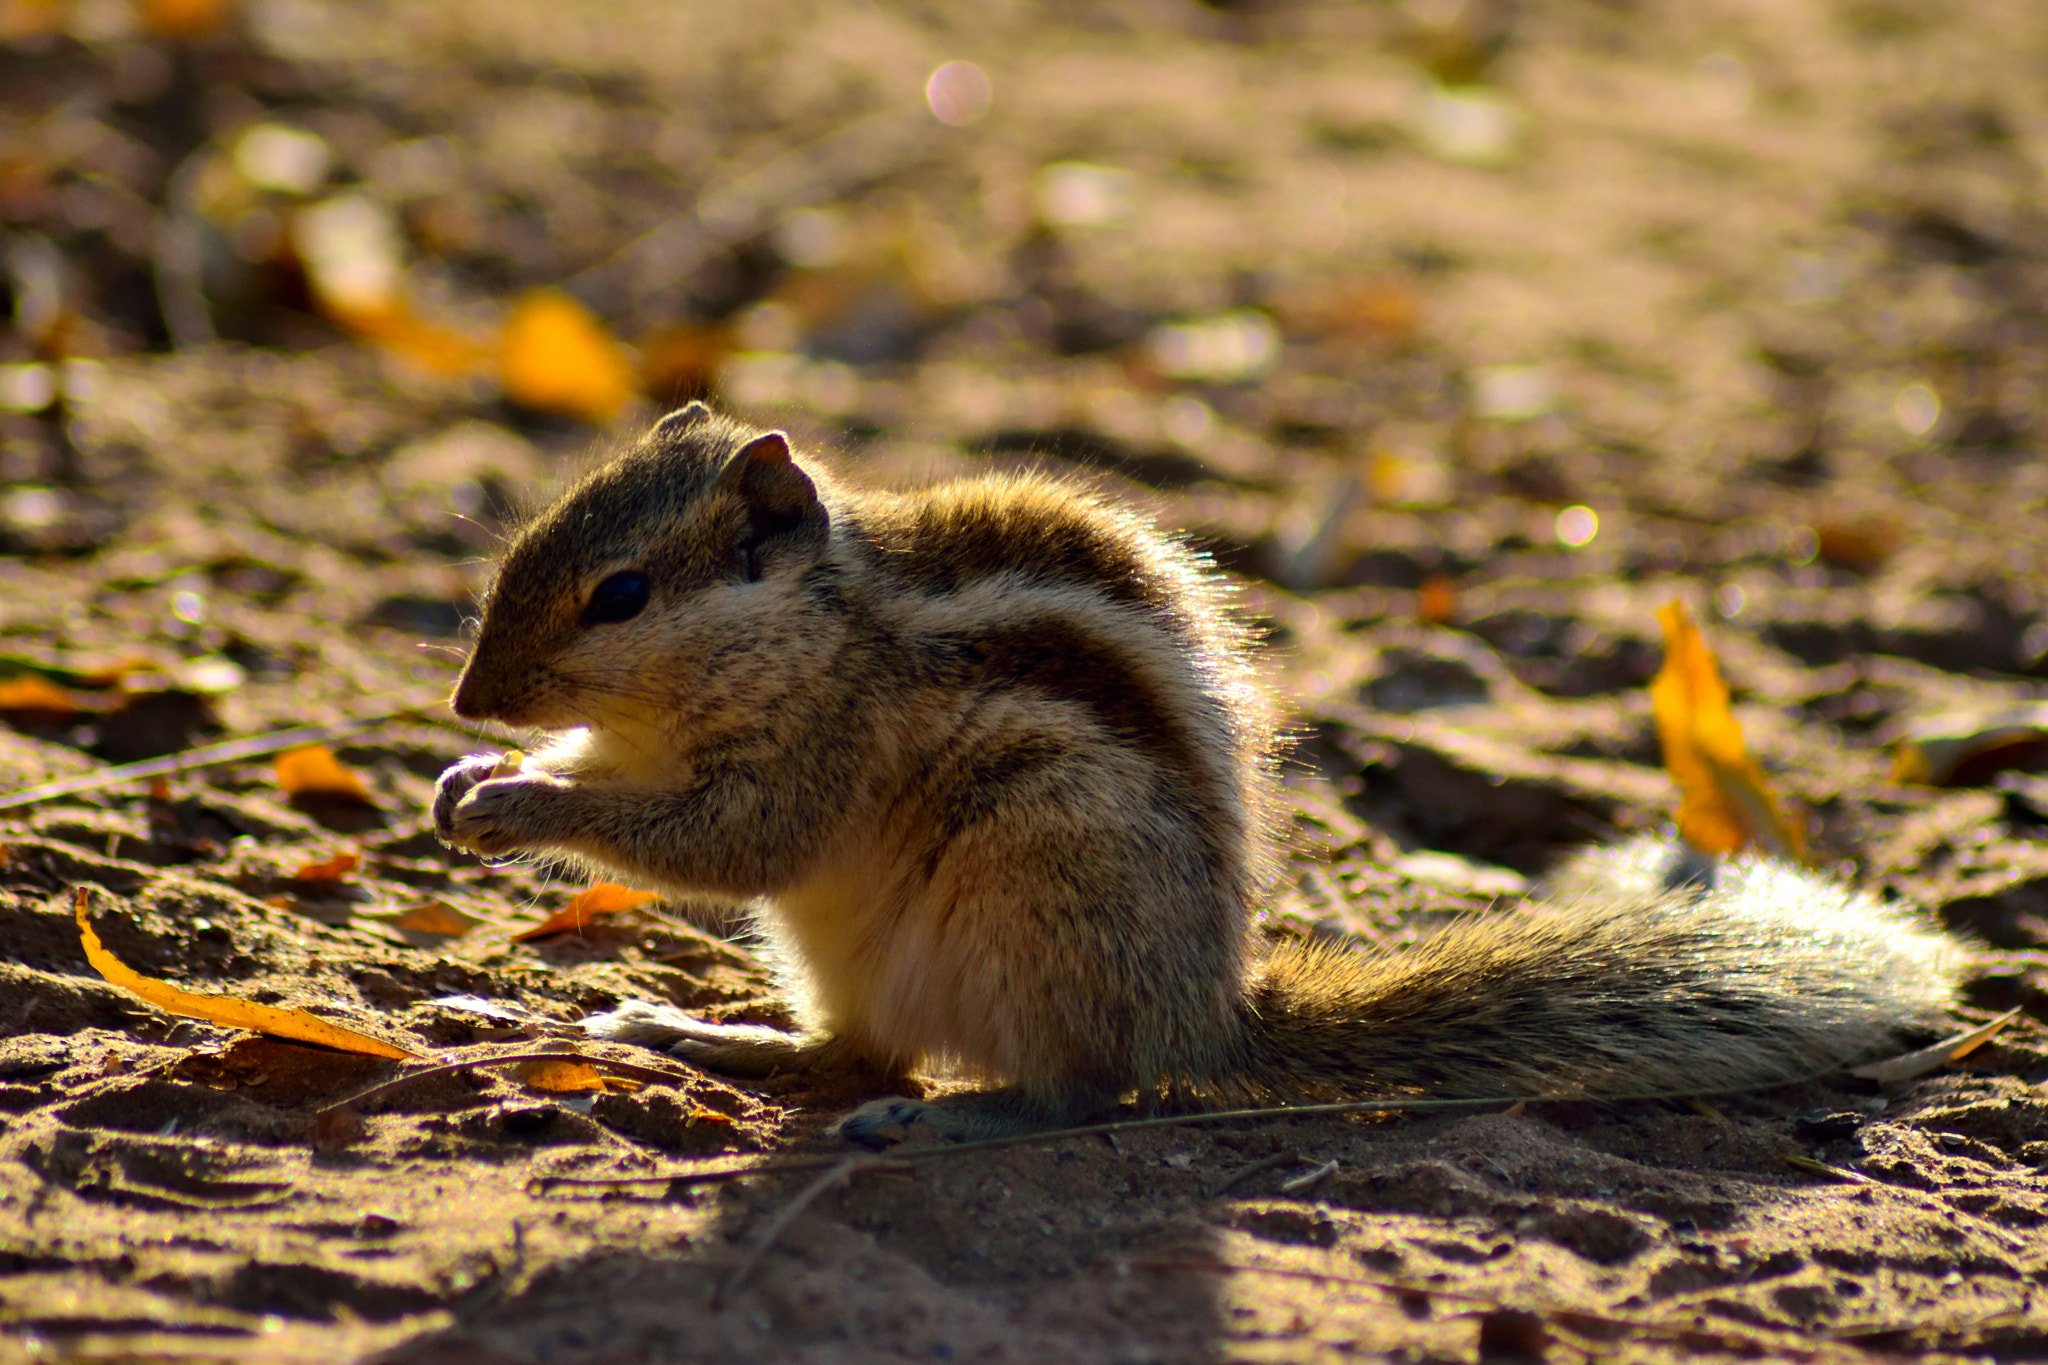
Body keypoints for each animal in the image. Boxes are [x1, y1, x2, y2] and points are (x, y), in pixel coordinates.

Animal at [433, 403, 1963, 1145]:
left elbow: (729, 842)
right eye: (526, 554)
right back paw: (708, 1038)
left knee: (1076, 1088)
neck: (810, 619)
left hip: (1039, 875)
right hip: (848, 951)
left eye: (620, 595)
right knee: (849, 1045)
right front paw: (467, 776)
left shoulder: (813, 749)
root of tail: (1206, 1014)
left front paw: (522, 800)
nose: (469, 696)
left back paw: (950, 1124)